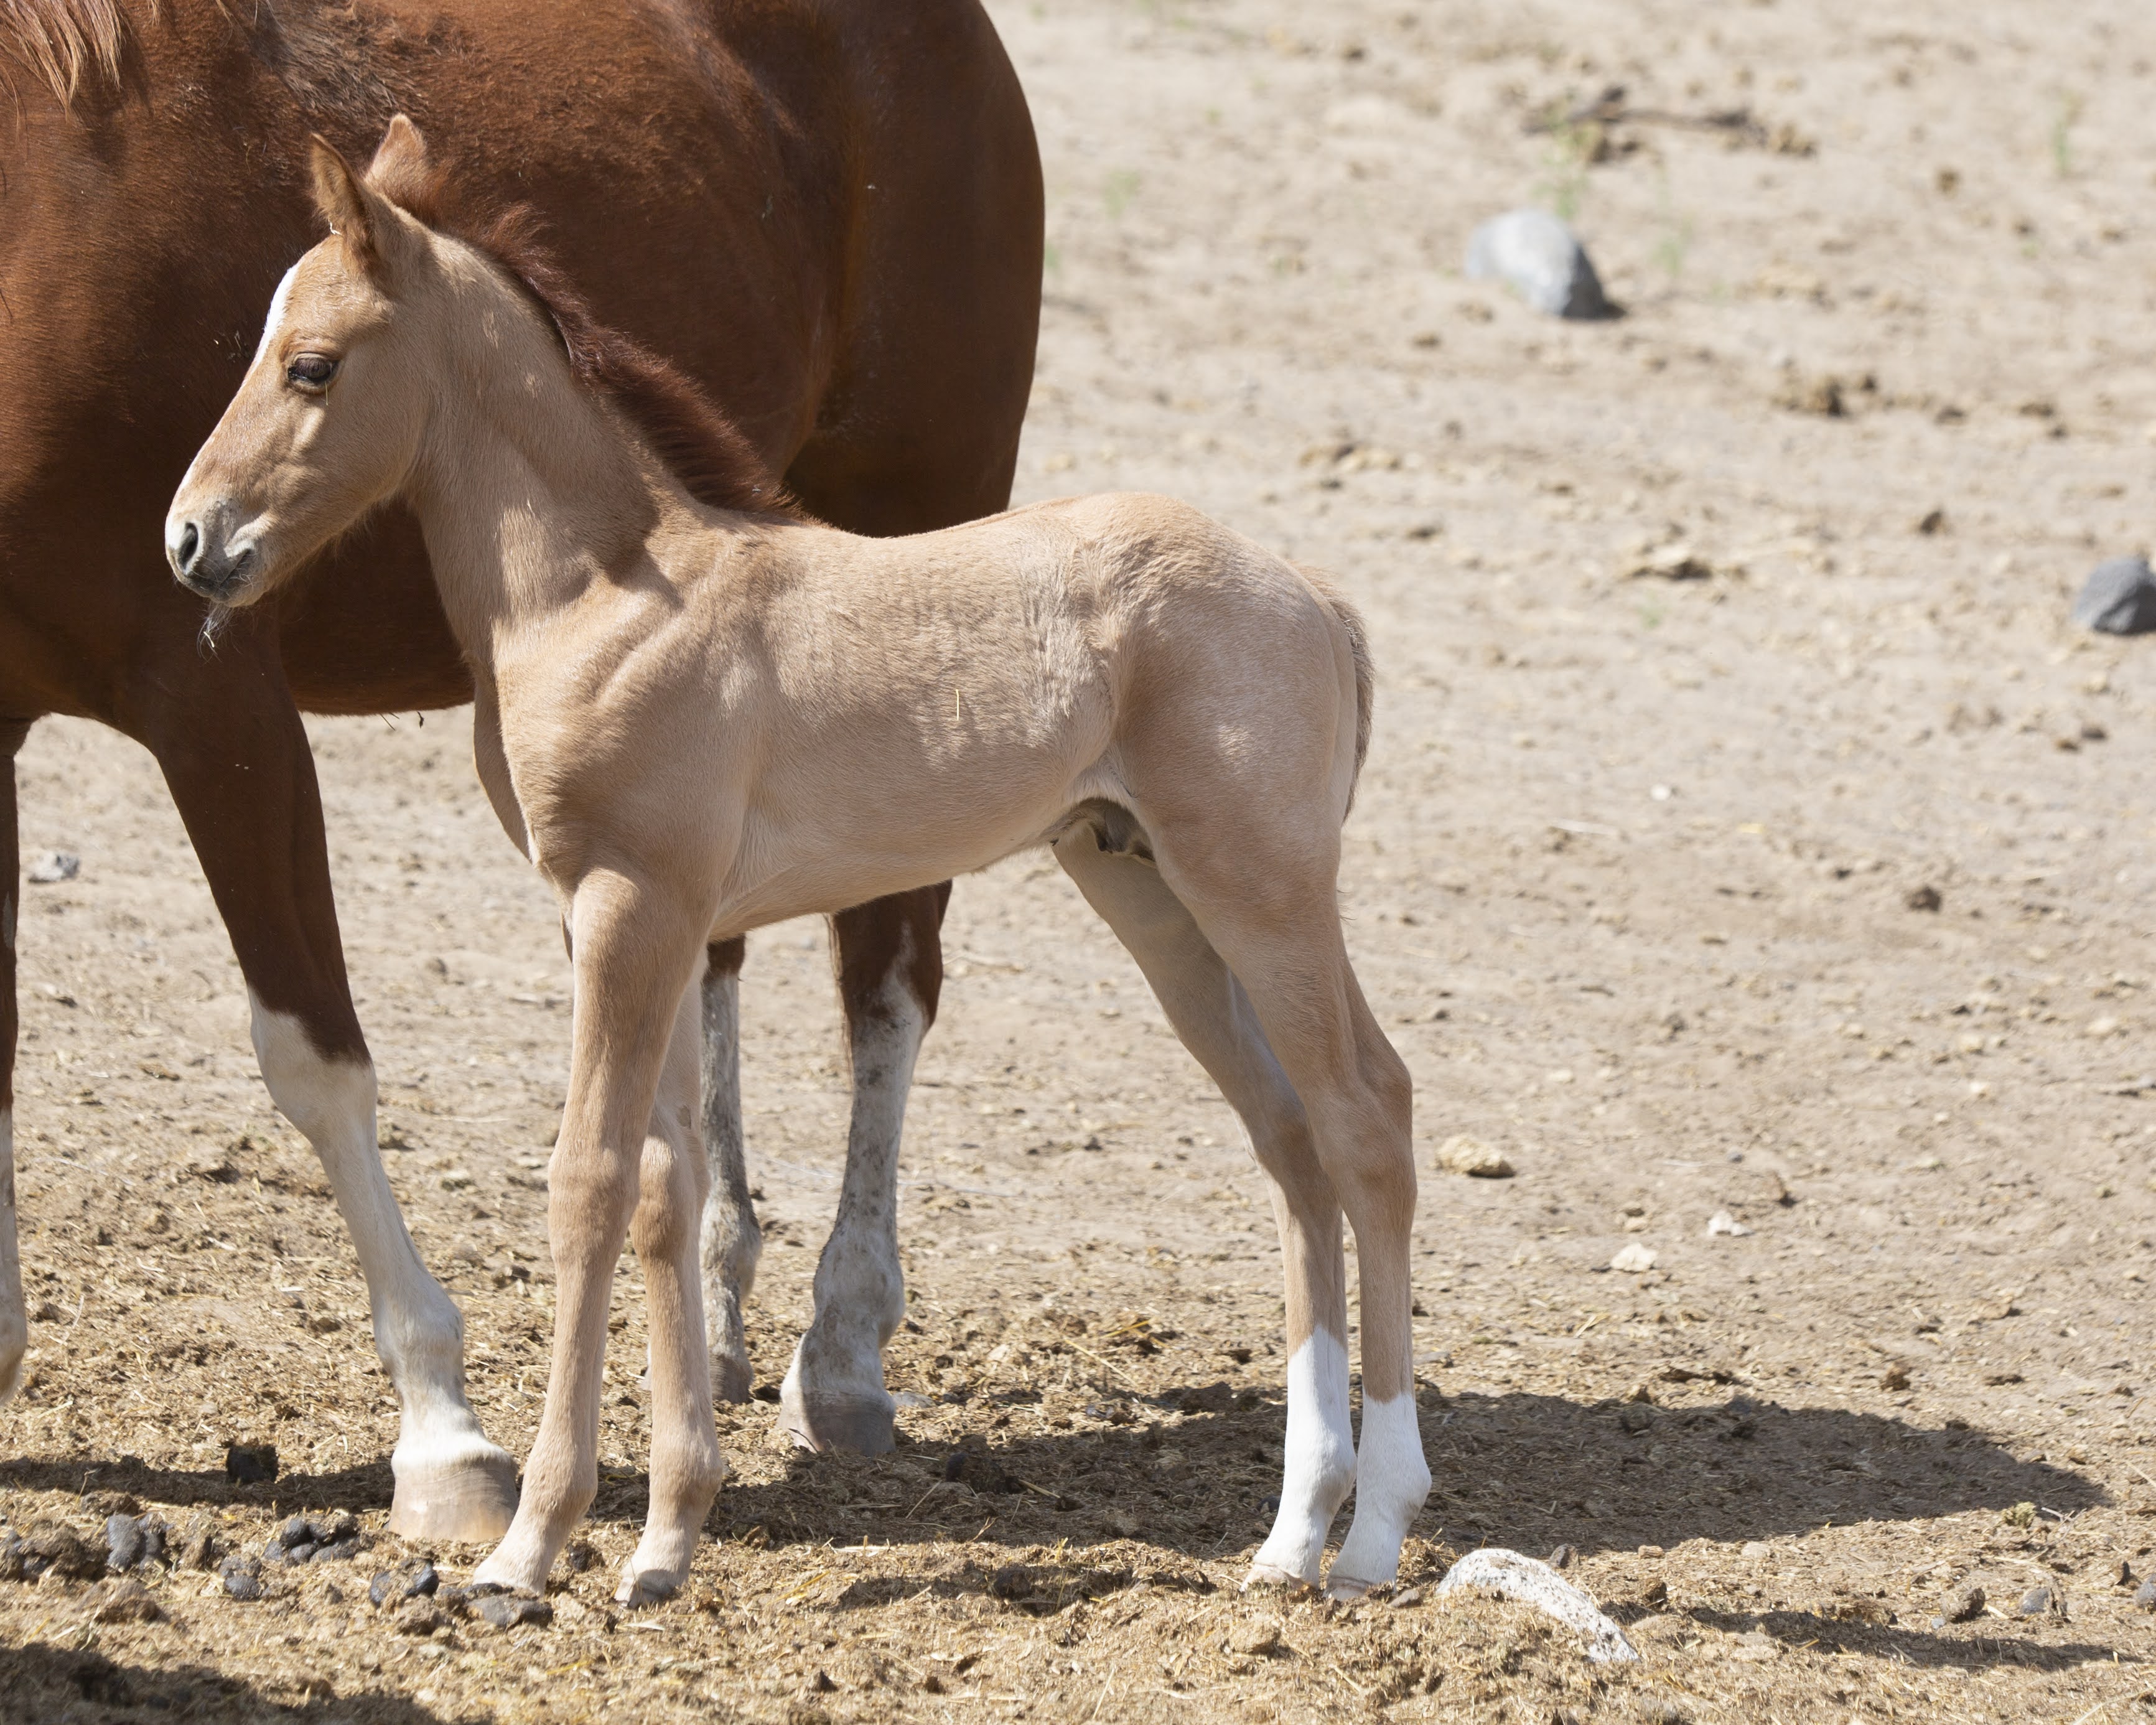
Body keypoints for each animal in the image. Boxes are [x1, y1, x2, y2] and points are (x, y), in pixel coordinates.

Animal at [0, 0, 1039, 1539]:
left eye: (309, 365)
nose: (195, 530)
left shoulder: (214, 693)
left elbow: (312, 1056)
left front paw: (442, 1431)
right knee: (718, 969)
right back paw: (721, 1314)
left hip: (919, 528)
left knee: (888, 976)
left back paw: (842, 1343)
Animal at [167, 117, 1431, 1606]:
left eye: (311, 364)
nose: (192, 540)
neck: (603, 592)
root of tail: (1318, 599)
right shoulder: (629, 918)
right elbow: (669, 1190)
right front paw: (664, 1540)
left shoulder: (632, 905)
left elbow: (589, 1183)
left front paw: (532, 1545)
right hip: (1151, 893)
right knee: (1289, 1141)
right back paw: (1289, 1536)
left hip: (1264, 890)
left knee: (1365, 1117)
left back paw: (1374, 1531)